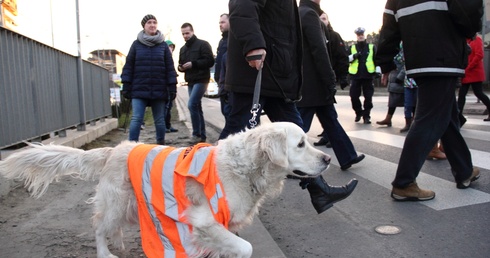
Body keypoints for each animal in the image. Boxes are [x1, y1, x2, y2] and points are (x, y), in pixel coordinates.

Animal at [0, 122, 332, 258]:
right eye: (300, 144)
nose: (328, 159)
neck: (246, 167)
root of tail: (114, 149)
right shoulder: (205, 220)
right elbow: (245, 247)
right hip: (116, 202)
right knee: (98, 226)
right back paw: (106, 253)